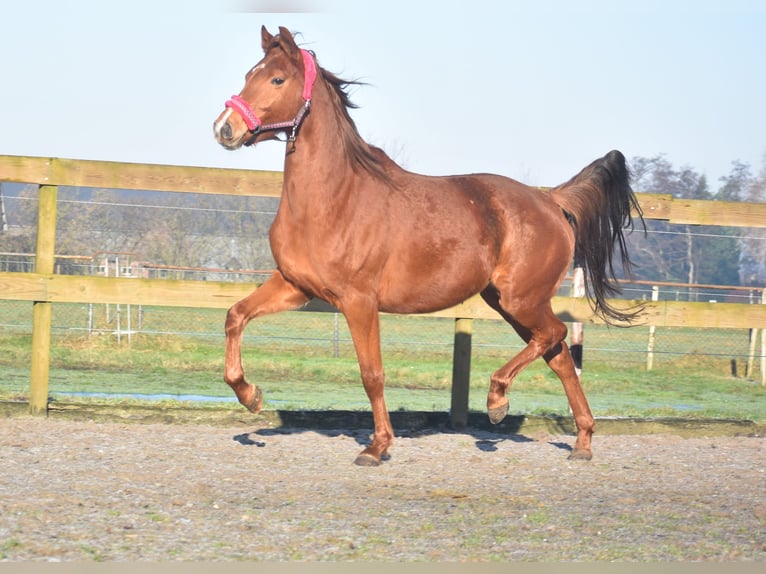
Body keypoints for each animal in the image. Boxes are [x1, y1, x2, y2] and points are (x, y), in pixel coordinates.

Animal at [212, 27, 640, 468]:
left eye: (277, 79)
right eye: (250, 74)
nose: (224, 128)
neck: (332, 199)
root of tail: (551, 200)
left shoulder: (358, 301)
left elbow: (372, 374)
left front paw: (377, 446)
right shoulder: (296, 286)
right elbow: (235, 316)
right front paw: (251, 396)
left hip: (521, 299)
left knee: (554, 335)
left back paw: (497, 400)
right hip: (510, 303)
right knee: (559, 356)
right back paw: (582, 443)